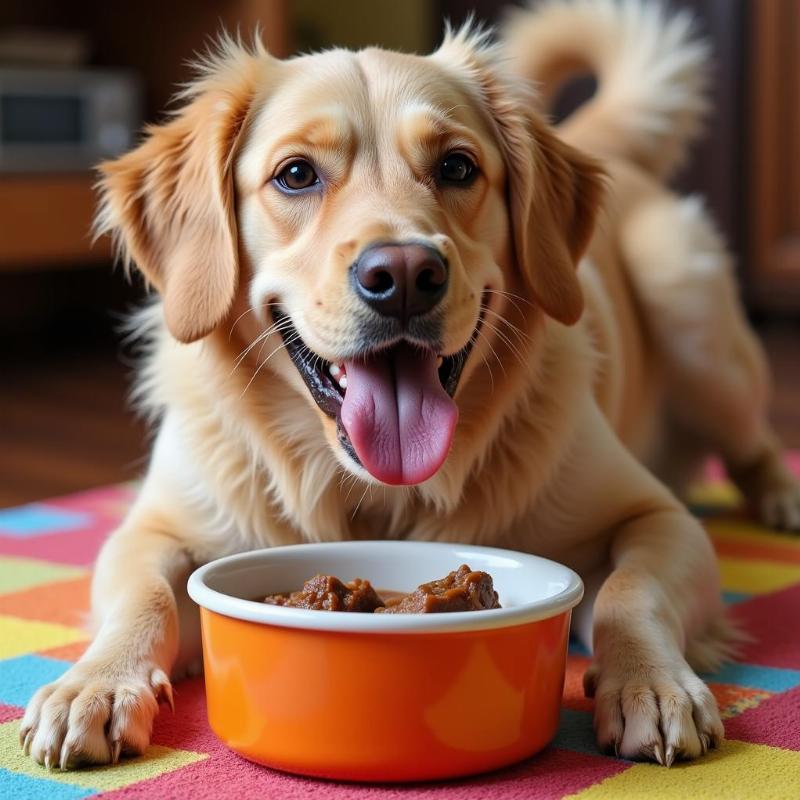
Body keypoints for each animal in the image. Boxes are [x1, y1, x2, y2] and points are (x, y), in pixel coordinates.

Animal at [21, 0, 796, 776]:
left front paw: (650, 682)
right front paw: (94, 684)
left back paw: (782, 497)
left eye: (456, 166)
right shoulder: (152, 529)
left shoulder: (658, 517)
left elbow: (629, 594)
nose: (401, 275)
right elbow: (144, 594)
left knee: (753, 443)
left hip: (687, 297)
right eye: (295, 174)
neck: (375, 493)